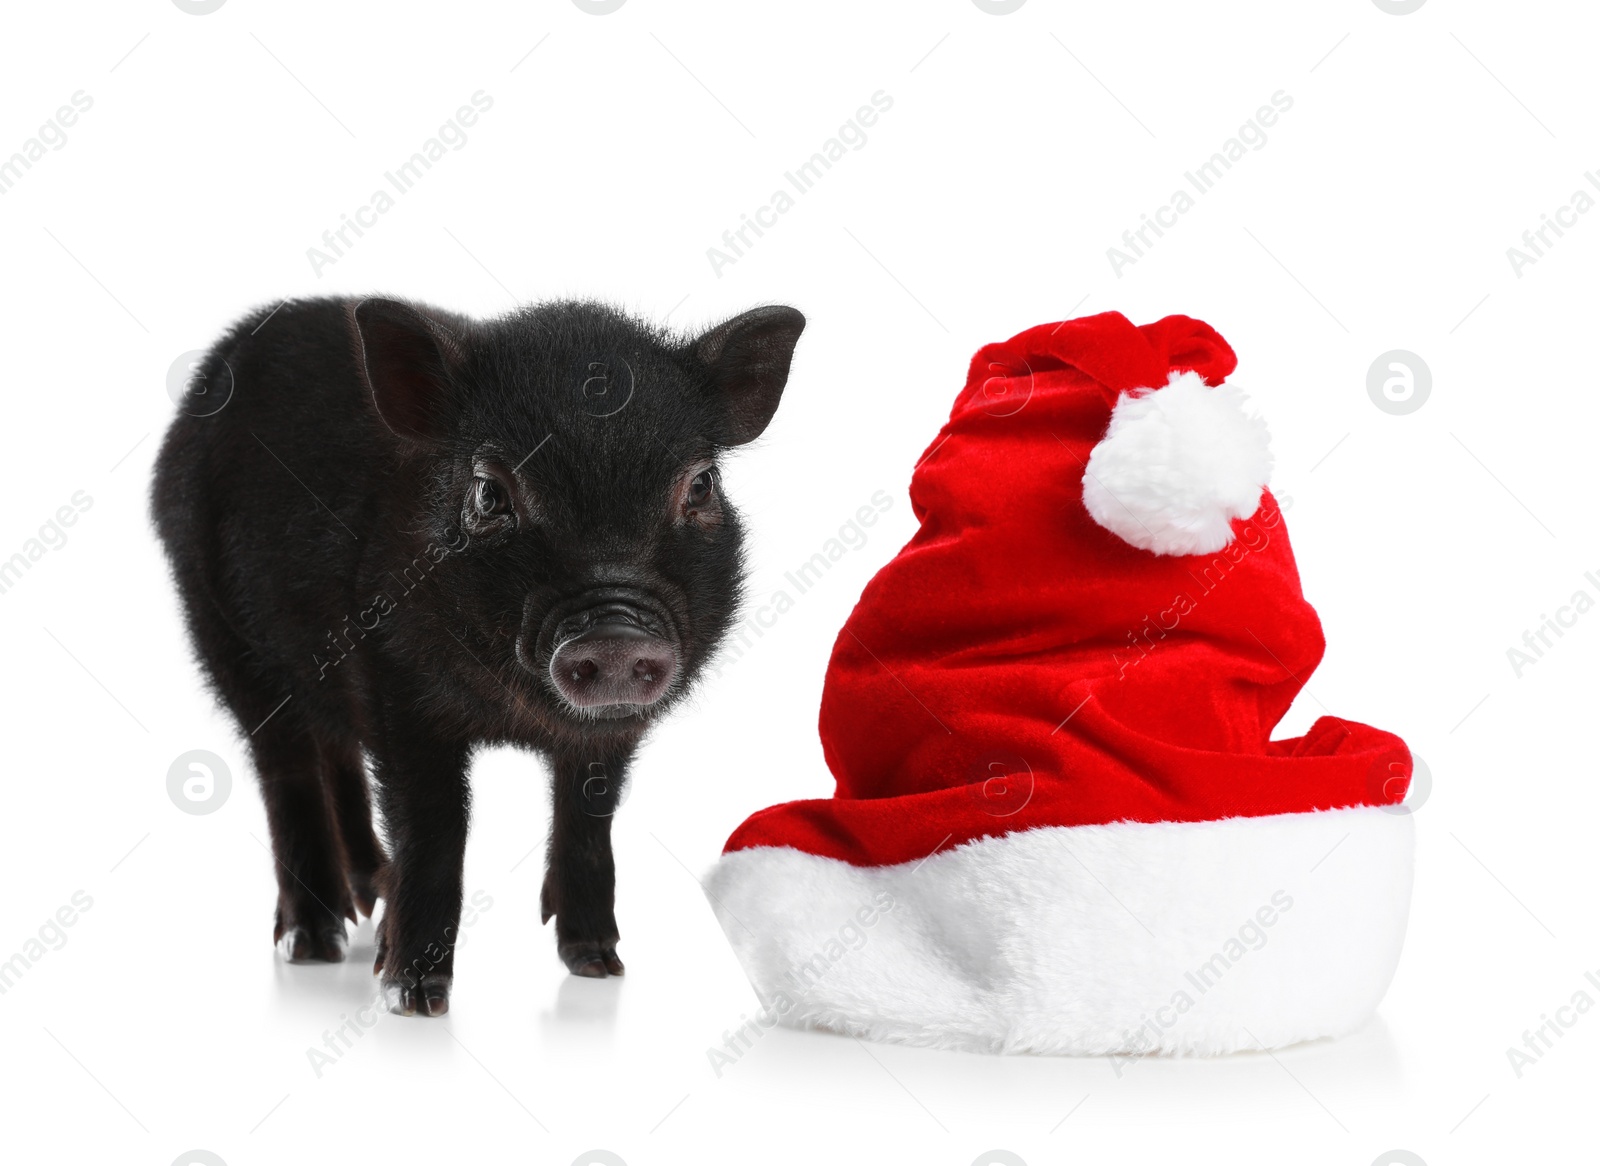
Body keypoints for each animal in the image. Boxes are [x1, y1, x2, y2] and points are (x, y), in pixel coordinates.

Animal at [148, 295, 800, 1017]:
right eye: (490, 492)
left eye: (702, 484)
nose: (615, 636)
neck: (516, 712)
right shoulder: (397, 691)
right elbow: (435, 828)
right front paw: (412, 997)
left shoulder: (608, 733)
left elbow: (588, 816)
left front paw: (598, 967)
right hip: (223, 633)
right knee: (286, 770)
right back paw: (314, 943)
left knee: (337, 753)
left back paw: (368, 896)